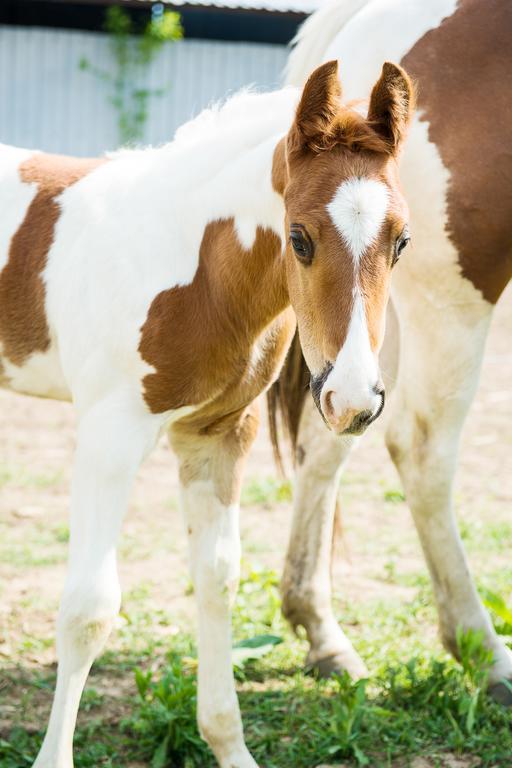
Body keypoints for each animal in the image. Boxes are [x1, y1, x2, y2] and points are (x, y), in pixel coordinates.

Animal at [0, 61, 414, 768]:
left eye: (402, 242)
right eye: (299, 238)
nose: (354, 400)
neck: (194, 270)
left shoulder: (218, 436)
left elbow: (218, 578)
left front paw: (230, 746)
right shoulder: (110, 436)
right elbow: (89, 608)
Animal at [270, 0, 510, 704]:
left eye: (400, 240)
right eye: (297, 238)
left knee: (331, 434)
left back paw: (321, 632)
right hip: (453, 292)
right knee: (419, 445)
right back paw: (483, 651)